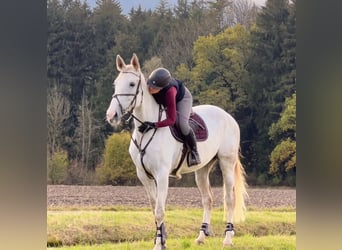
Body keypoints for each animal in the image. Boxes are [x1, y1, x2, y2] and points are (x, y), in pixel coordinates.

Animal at [105, 53, 247, 249]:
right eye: (115, 83)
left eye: (132, 84)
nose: (111, 116)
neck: (145, 130)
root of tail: (228, 116)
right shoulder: (144, 175)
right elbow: (155, 208)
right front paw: (161, 240)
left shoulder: (162, 175)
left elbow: (159, 211)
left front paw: (159, 244)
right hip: (202, 169)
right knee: (207, 199)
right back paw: (201, 236)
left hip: (227, 162)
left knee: (229, 199)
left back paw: (227, 238)